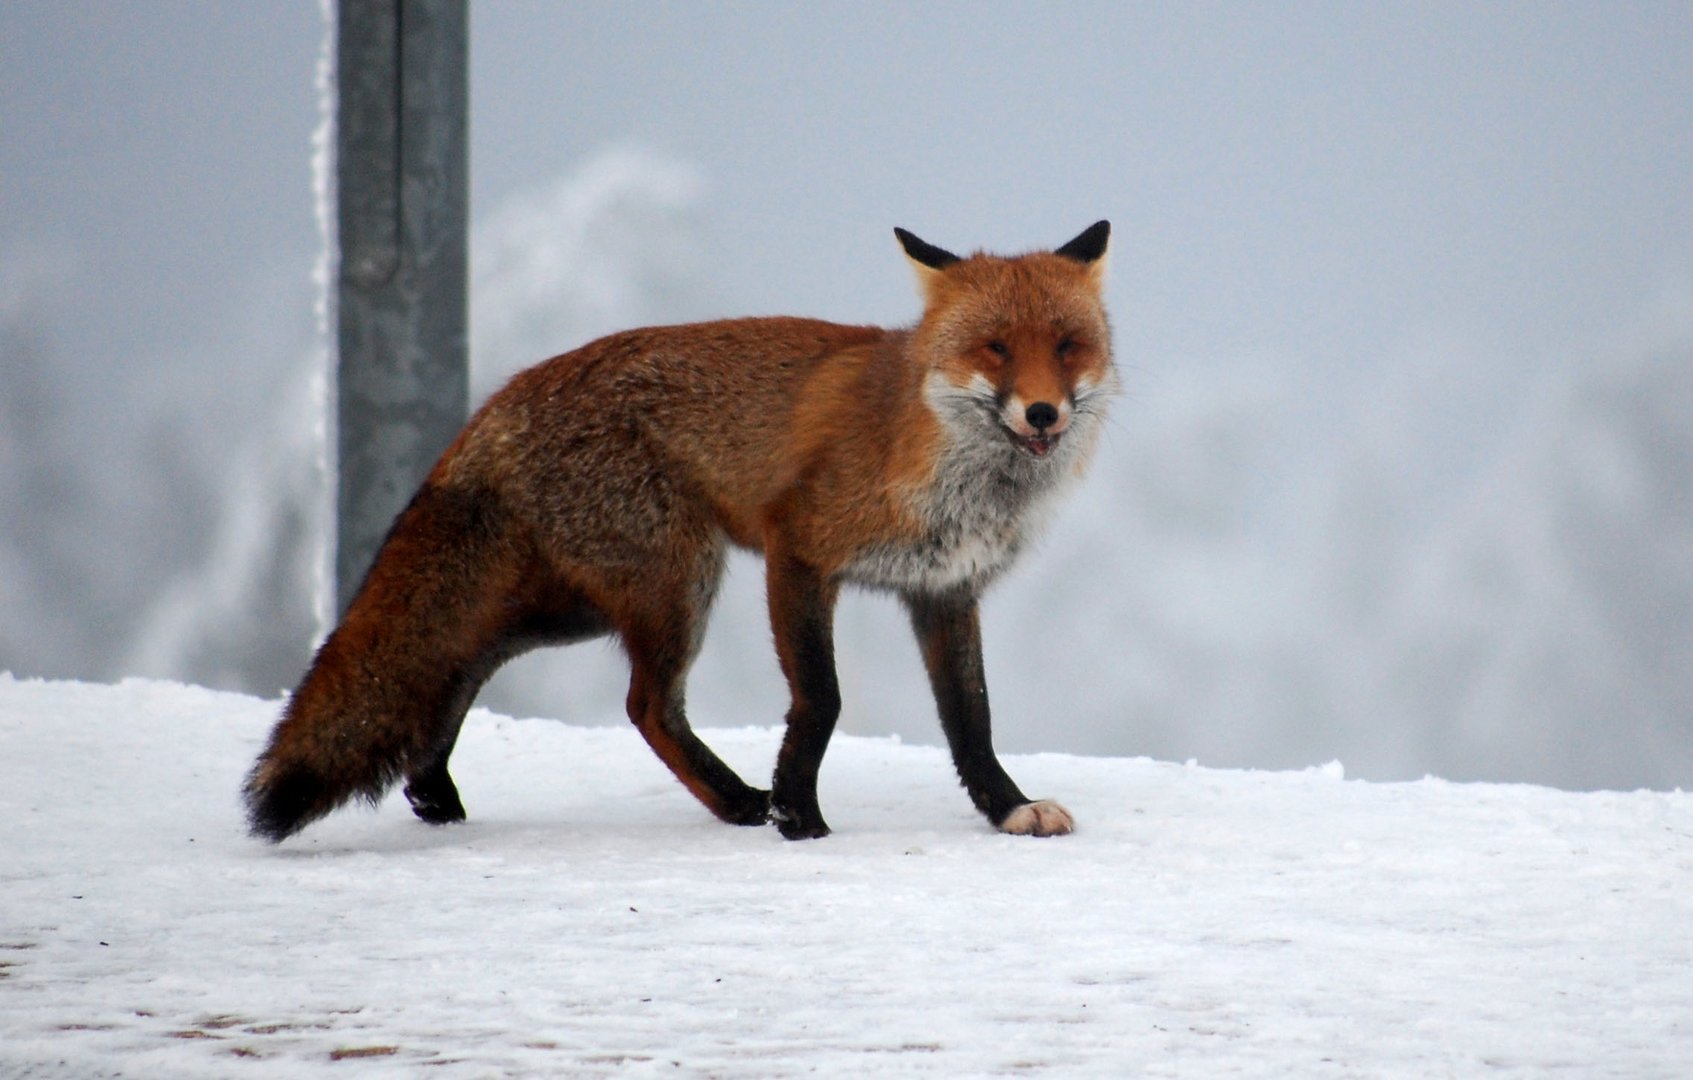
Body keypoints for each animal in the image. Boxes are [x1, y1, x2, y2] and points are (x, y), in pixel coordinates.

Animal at [238, 221, 1110, 846]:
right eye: (995, 347)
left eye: (1067, 346)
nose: (1041, 413)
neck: (952, 472)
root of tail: (500, 403)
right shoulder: (797, 552)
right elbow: (820, 700)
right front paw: (798, 816)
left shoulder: (944, 590)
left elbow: (971, 721)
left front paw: (1006, 808)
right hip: (673, 583)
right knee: (645, 705)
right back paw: (739, 803)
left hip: (583, 603)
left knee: (465, 661)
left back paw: (432, 792)